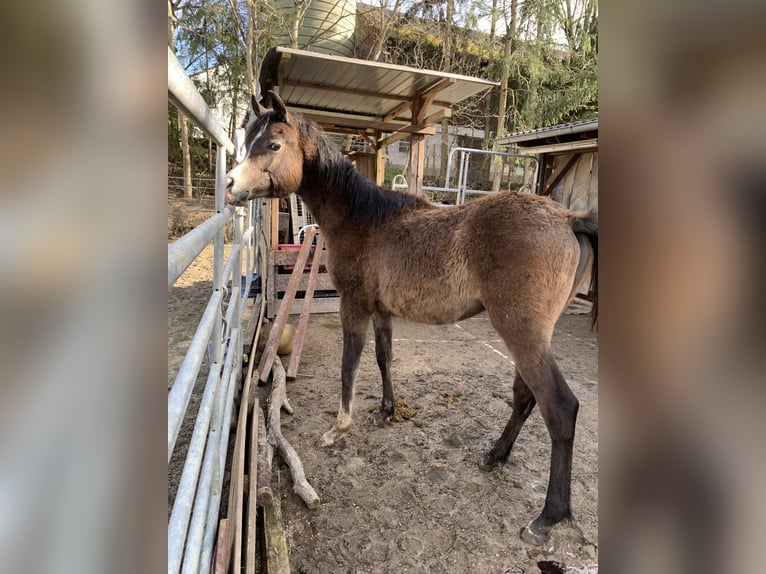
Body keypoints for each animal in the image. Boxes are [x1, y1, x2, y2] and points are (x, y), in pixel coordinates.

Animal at [226, 91, 600, 544]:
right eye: (248, 140)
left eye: (273, 144)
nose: (230, 186)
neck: (363, 218)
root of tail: (568, 219)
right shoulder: (382, 311)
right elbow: (384, 358)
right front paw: (386, 411)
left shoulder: (355, 304)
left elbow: (350, 364)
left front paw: (339, 428)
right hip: (527, 337)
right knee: (525, 397)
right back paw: (495, 455)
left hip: (522, 333)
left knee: (559, 407)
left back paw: (548, 516)